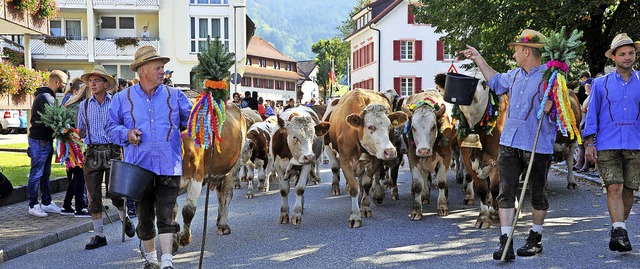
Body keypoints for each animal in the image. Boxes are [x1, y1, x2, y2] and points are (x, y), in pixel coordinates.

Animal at [175, 102, 248, 249]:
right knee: (220, 195)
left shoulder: (196, 177)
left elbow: (188, 210)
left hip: (233, 166)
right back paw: (219, 219)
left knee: (226, 194)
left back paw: (223, 225)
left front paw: (184, 238)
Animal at [322, 89, 408, 227]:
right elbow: (353, 187)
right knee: (335, 168)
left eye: (389, 126)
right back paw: (335, 188)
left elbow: (367, 183)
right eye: (370, 127)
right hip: (328, 148)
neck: (355, 133)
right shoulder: (345, 160)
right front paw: (355, 215)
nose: (390, 151)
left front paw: (365, 207)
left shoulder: (376, 159)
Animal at [404, 89, 456, 219]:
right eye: (413, 127)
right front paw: (416, 210)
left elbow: (441, 181)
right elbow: (418, 185)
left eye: (433, 127)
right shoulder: (413, 157)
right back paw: (425, 196)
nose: (423, 150)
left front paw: (442, 206)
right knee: (425, 176)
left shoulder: (446, 157)